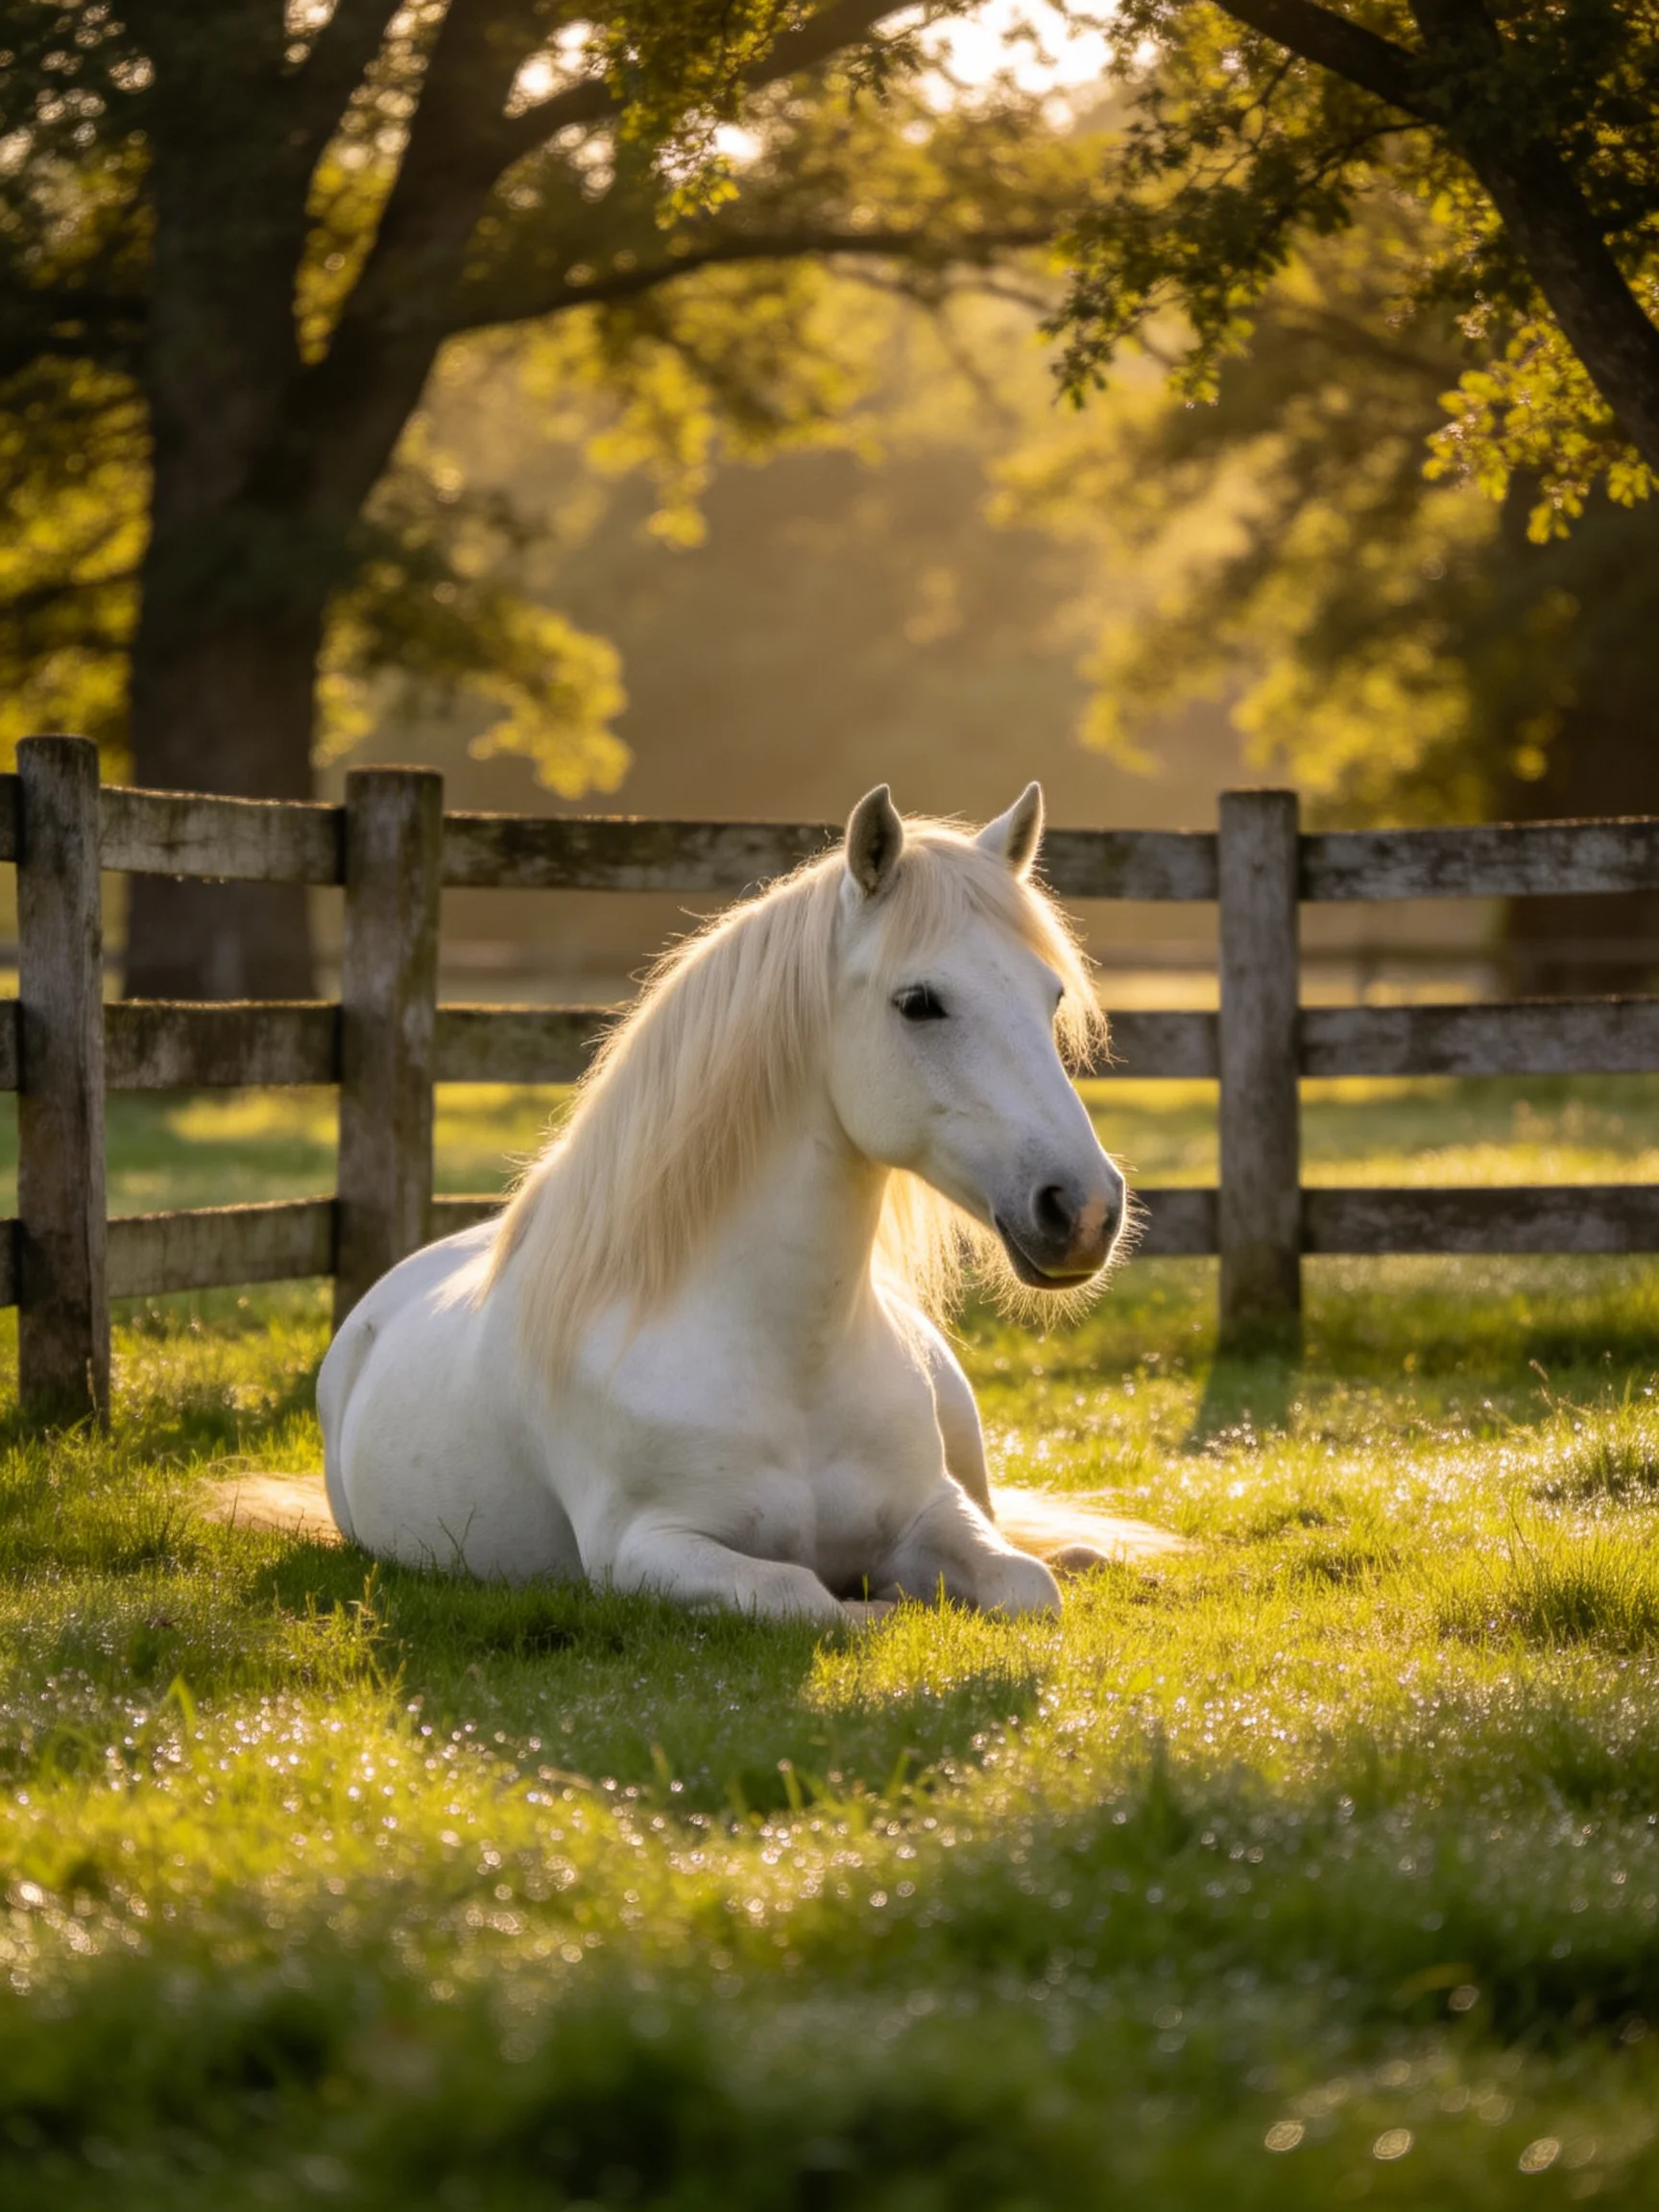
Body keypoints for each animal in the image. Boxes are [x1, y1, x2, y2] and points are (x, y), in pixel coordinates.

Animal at [316, 782, 1144, 1623]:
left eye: (1052, 997)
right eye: (918, 1002)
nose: (1084, 1210)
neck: (791, 1363)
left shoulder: (937, 1510)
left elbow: (1025, 1585)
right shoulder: (645, 1552)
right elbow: (809, 1597)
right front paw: (879, 1601)